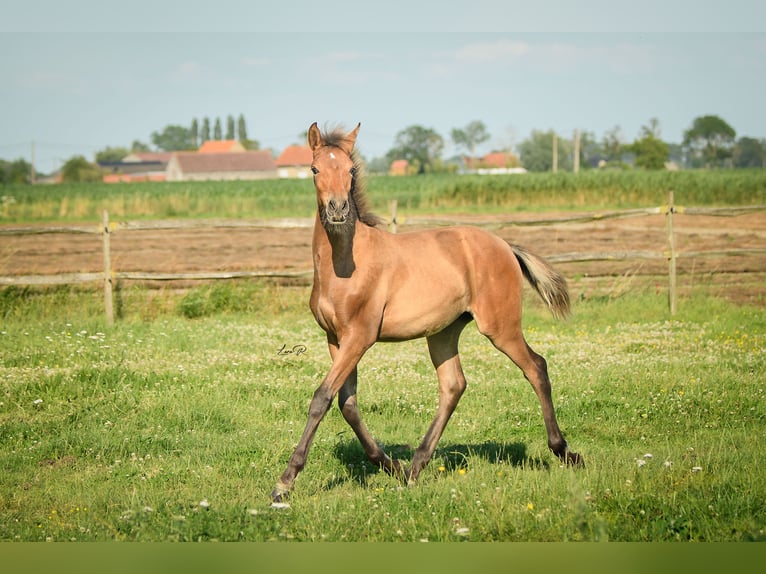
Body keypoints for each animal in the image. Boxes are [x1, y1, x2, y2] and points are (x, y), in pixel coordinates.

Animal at [272, 122, 584, 504]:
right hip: (443, 332)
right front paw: (389, 465)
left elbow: (322, 398)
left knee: (536, 367)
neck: (344, 264)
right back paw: (414, 468)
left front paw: (285, 482)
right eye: (315, 169)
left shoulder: (360, 336)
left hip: (500, 326)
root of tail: (504, 246)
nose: (338, 209)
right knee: (454, 385)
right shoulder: (336, 339)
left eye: (350, 170)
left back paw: (564, 452)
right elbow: (348, 403)